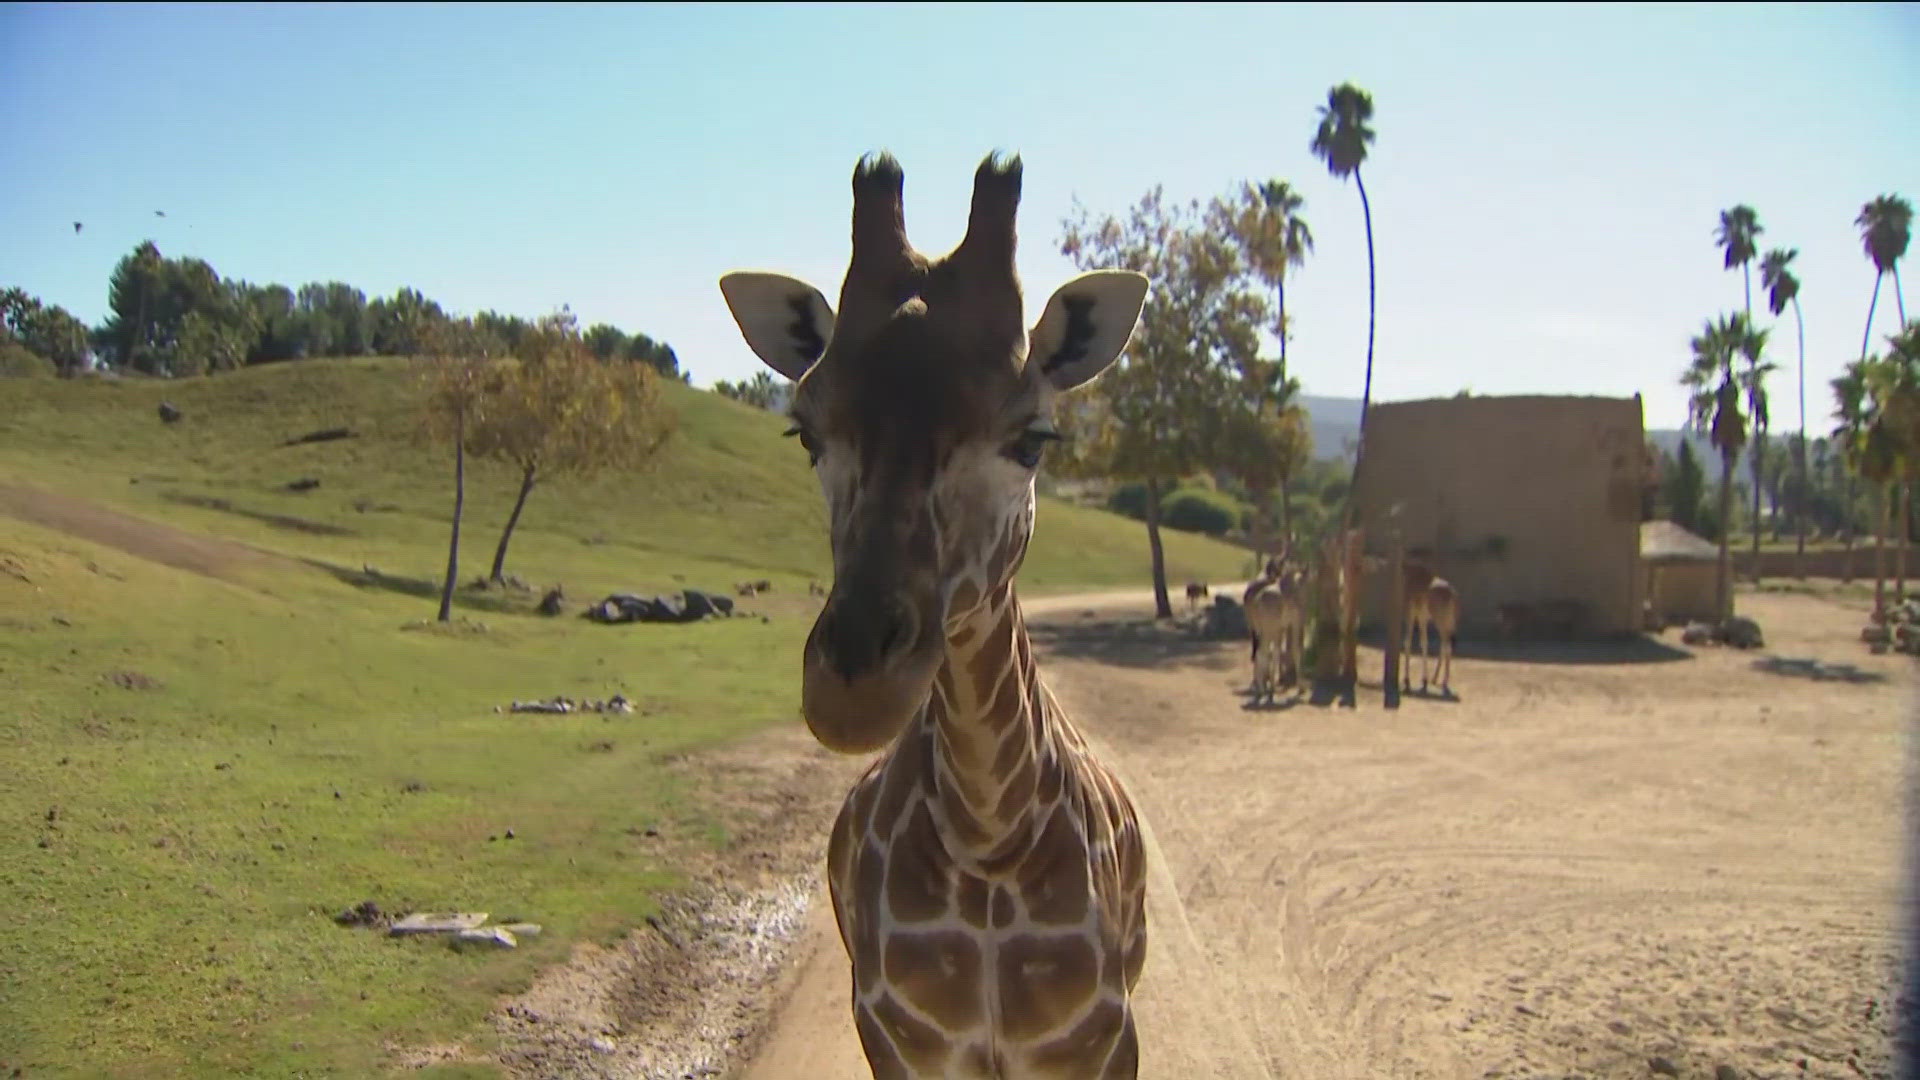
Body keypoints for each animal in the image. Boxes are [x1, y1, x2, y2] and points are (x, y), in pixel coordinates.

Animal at [721, 153, 1152, 1076]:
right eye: (805, 433)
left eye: (1033, 438)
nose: (852, 693)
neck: (989, 836)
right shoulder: (898, 1039)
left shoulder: (1100, 1042)